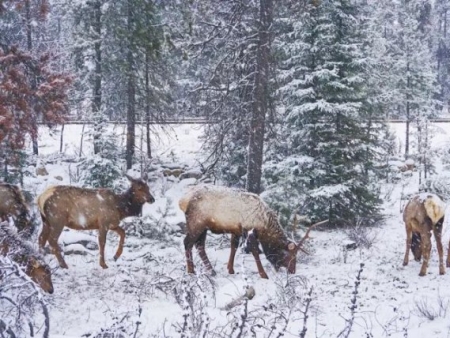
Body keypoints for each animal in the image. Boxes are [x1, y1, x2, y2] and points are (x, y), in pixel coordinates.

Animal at [178, 185, 326, 280]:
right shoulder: (249, 229)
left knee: (199, 245)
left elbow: (234, 246)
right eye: (289, 255)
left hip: (203, 227)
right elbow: (254, 250)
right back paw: (191, 271)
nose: (293, 271)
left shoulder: (236, 230)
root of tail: (182, 201)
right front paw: (263, 274)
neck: (264, 224)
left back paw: (211, 271)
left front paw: (230, 269)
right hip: (196, 223)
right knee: (187, 243)